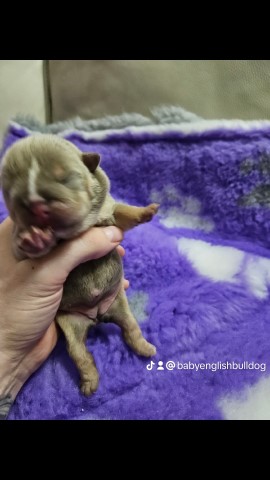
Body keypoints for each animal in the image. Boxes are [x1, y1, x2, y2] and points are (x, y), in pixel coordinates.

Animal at [1, 134, 158, 394]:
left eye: (65, 178)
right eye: (14, 196)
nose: (36, 205)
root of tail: (97, 316)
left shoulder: (110, 211)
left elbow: (123, 212)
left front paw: (146, 211)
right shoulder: (17, 246)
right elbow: (29, 247)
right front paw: (36, 238)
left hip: (120, 305)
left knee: (130, 329)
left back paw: (145, 348)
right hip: (70, 323)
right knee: (79, 353)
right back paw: (89, 383)